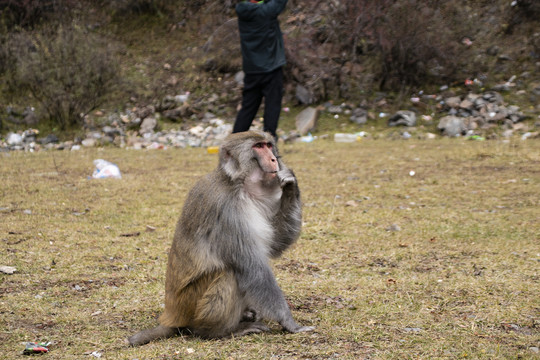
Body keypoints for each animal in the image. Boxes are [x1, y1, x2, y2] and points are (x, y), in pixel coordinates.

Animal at [129, 130, 314, 346]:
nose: (274, 159)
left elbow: (275, 244)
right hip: (191, 304)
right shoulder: (226, 211)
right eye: (258, 146)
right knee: (230, 274)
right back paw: (218, 331)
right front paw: (290, 323)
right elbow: (252, 266)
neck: (238, 185)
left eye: (269, 145)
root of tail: (172, 317)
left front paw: (291, 186)